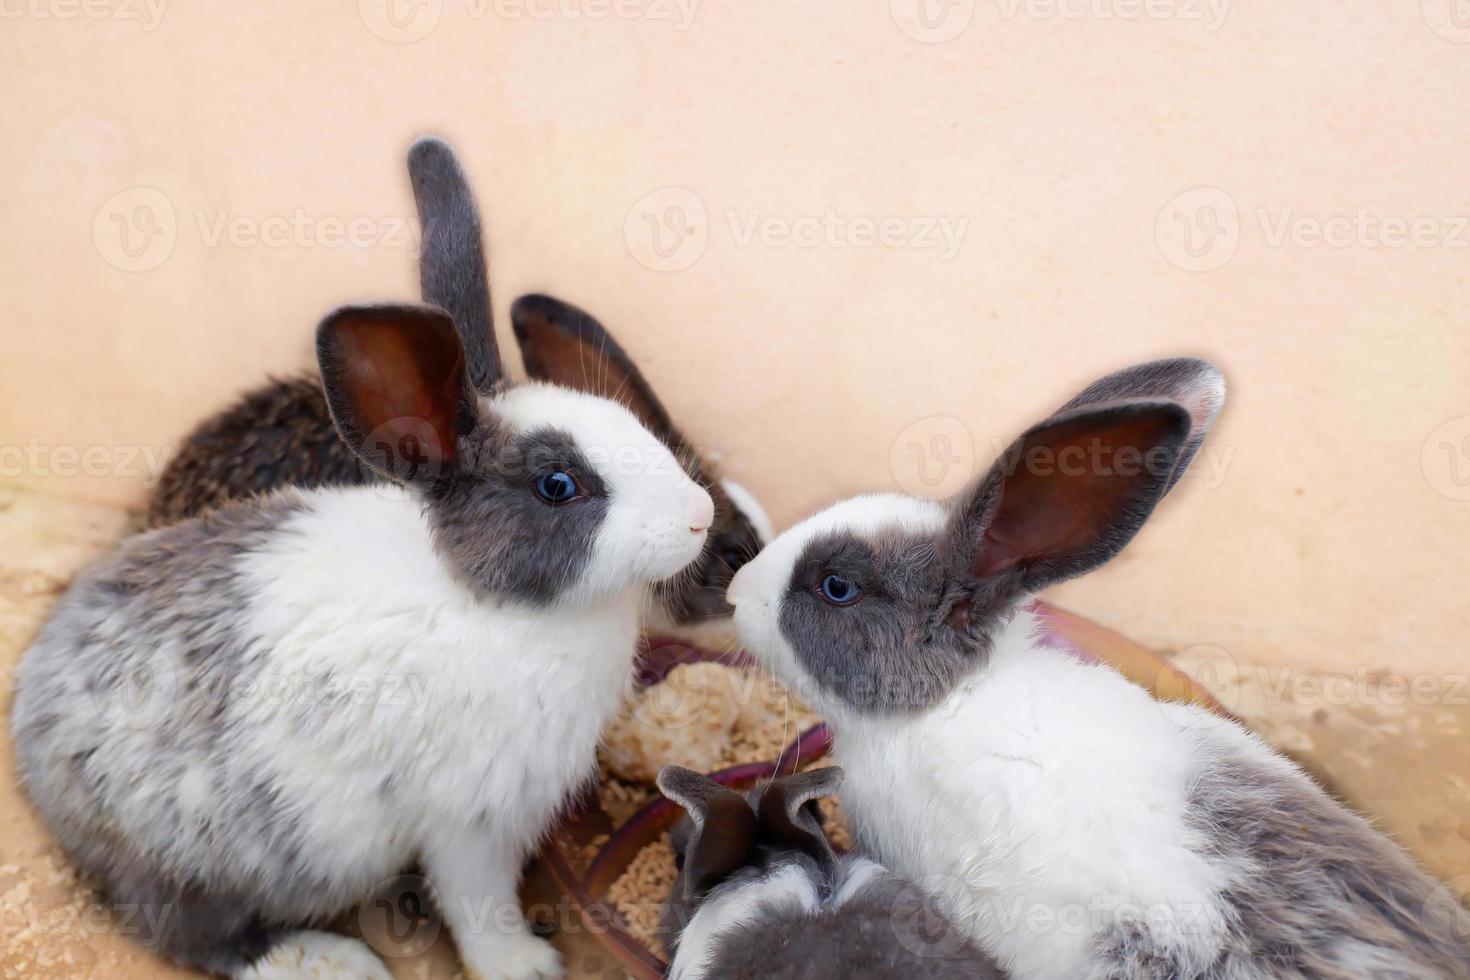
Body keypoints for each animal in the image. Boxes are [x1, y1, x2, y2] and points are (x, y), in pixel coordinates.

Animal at [7, 221, 717, 975]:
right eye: (558, 486)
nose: (700, 515)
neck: (490, 603)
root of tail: (34, 726)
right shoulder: (469, 819)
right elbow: (478, 901)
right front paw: (523, 964)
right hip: (195, 861)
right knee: (186, 933)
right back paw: (327, 959)